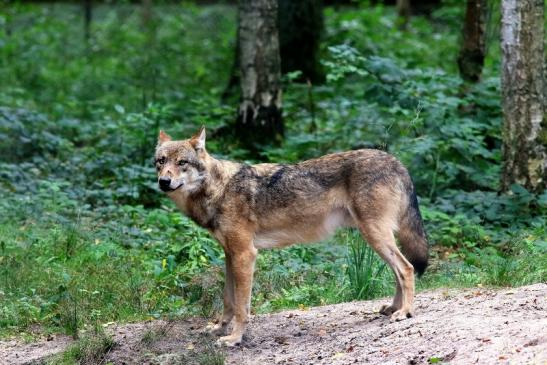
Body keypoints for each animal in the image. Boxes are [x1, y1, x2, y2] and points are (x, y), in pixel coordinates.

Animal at [153, 126, 428, 346]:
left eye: (182, 163)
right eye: (161, 161)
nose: (163, 182)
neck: (218, 189)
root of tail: (396, 161)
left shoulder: (245, 254)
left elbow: (242, 307)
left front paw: (234, 339)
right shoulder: (230, 255)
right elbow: (228, 301)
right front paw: (219, 329)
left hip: (374, 235)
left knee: (406, 268)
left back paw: (405, 312)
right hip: (376, 238)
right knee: (399, 270)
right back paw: (393, 308)